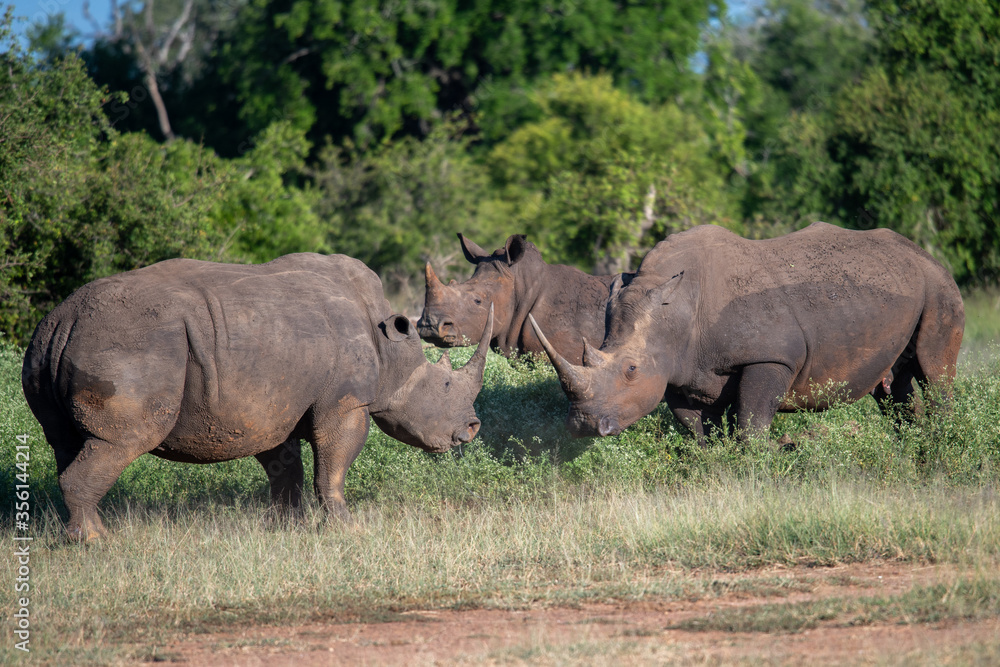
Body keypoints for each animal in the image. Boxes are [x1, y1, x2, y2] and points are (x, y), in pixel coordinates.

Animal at [21, 253, 493, 540]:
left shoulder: (271, 405)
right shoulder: (344, 404)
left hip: (51, 345)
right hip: (134, 346)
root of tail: (63, 321)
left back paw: (73, 535)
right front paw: (348, 528)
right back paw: (98, 542)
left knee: (65, 441)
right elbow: (333, 468)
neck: (390, 348)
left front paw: (287, 527)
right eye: (444, 385)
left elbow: (286, 470)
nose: (472, 427)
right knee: (120, 441)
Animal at [529, 223, 964, 442]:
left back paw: (943, 446)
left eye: (631, 370)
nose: (584, 427)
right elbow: (696, 431)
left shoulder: (771, 356)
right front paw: (713, 467)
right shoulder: (679, 372)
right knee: (894, 387)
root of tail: (922, 253)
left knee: (935, 373)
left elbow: (751, 424)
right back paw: (913, 452)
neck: (677, 313)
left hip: (939, 285)